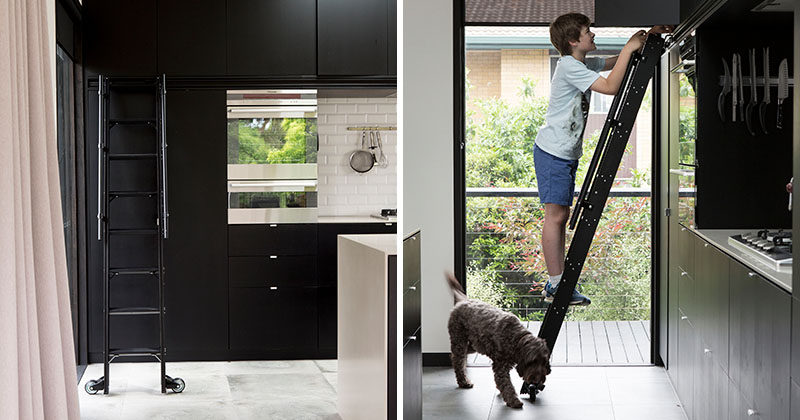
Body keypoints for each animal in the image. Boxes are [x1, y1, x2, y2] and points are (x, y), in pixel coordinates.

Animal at [444, 274, 552, 408]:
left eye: (543, 361)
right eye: (532, 361)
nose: (537, 380)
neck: (516, 338)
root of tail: (463, 300)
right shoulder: (501, 366)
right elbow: (506, 385)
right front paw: (513, 400)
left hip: (473, 345)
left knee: (459, 356)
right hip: (459, 341)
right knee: (457, 360)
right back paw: (463, 381)